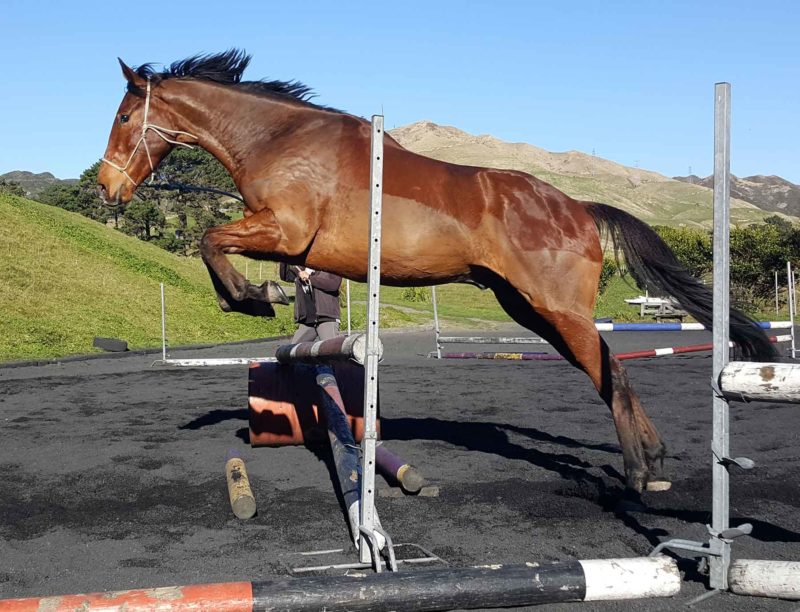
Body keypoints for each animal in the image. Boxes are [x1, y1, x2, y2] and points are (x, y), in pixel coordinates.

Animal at [97, 50, 777, 496]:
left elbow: (211, 242)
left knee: (613, 372)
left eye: (125, 119)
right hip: (527, 309)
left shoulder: (285, 232)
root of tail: (578, 207)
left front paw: (250, 296)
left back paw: (642, 471)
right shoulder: (291, 244)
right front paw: (251, 295)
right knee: (605, 369)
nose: (107, 186)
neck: (278, 138)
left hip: (556, 309)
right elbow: (221, 249)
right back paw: (654, 461)